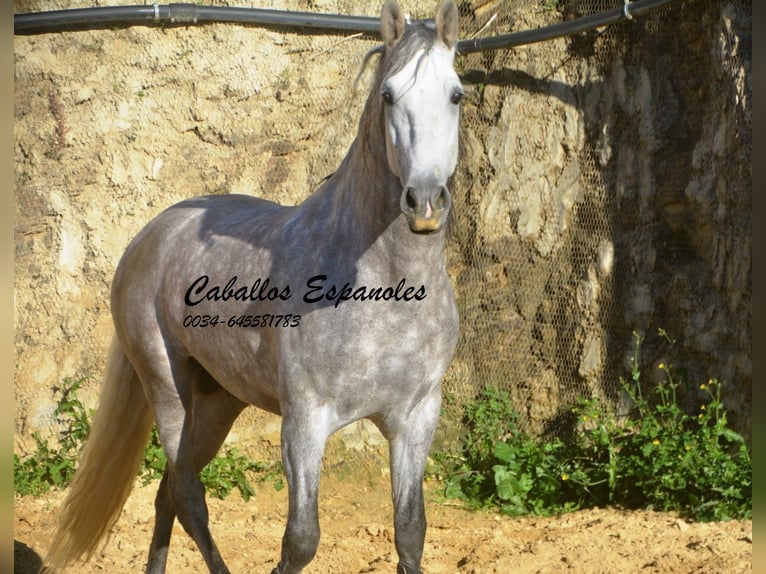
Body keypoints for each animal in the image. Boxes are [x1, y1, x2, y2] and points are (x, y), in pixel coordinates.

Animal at [45, 1, 464, 574]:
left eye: (456, 94)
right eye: (388, 95)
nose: (424, 201)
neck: (383, 293)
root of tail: (149, 236)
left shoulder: (415, 420)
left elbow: (410, 533)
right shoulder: (305, 421)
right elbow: (301, 540)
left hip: (218, 403)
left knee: (167, 492)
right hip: (167, 390)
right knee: (187, 496)